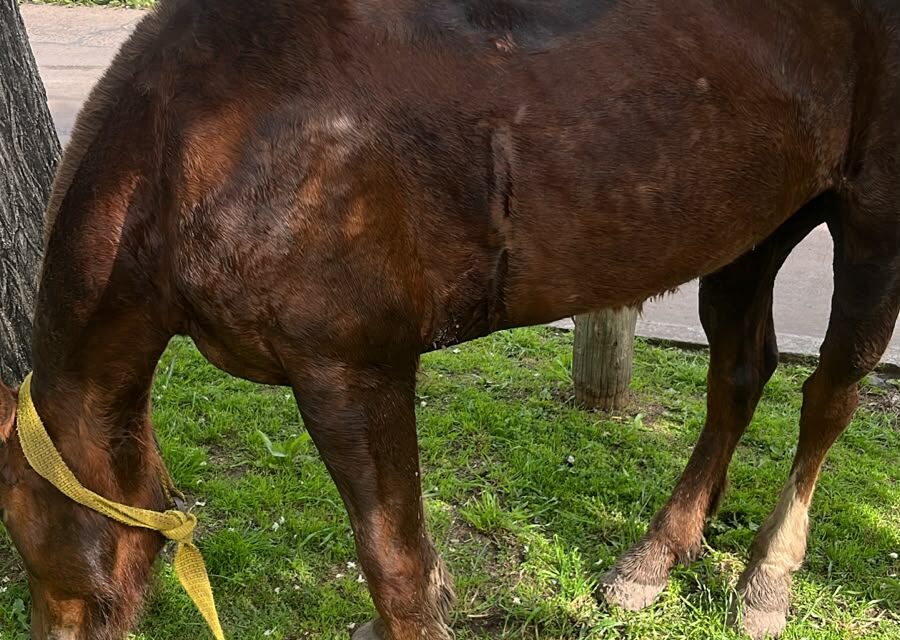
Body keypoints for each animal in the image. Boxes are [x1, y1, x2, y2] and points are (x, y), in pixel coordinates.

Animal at [1, 0, 898, 638]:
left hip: (869, 220)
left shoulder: (352, 370)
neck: (203, 139)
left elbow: (389, 557)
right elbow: (408, 554)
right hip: (753, 225)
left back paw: (769, 578)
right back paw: (653, 558)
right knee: (738, 378)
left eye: (18, 531)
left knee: (829, 397)